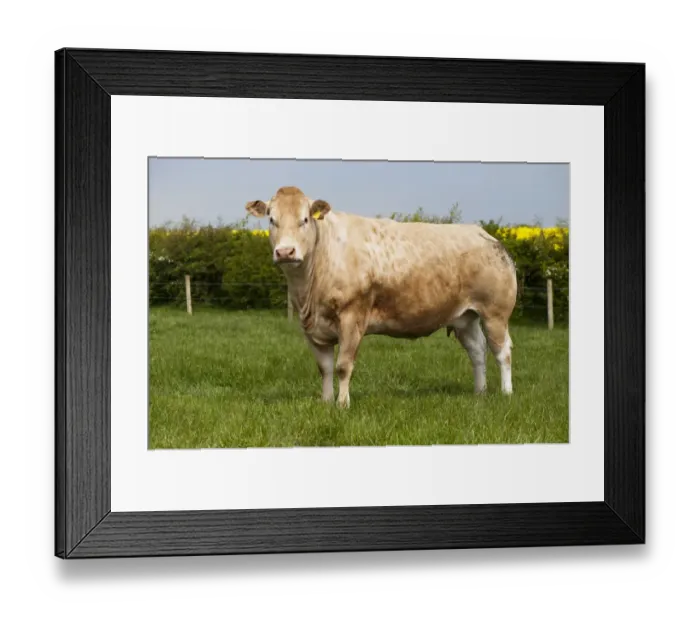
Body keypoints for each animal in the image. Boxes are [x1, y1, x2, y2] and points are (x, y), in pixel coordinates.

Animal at [245, 186, 517, 408]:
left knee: (502, 351)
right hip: (465, 317)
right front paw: (326, 402)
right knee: (477, 351)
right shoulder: (312, 327)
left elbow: (343, 366)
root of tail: (485, 235)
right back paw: (479, 393)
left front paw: (342, 404)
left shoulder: (352, 317)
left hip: (495, 313)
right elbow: (325, 368)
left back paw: (506, 393)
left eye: (304, 219)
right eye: (272, 219)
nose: (285, 252)